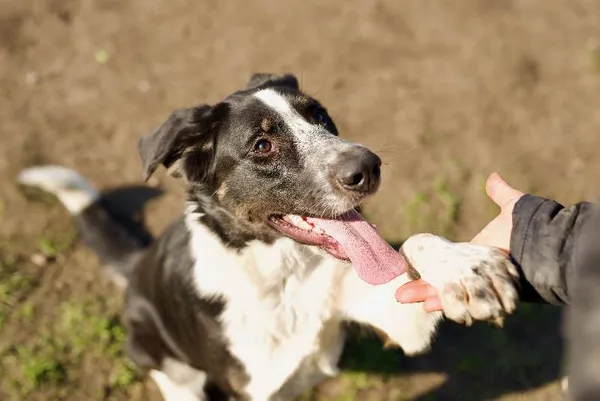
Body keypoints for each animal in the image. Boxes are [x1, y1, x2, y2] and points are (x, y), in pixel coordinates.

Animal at [19, 72, 520, 400]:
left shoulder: (400, 321)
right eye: (262, 145)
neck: (287, 272)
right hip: (159, 355)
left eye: (320, 116)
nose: (370, 166)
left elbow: (416, 243)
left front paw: (467, 268)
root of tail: (139, 264)